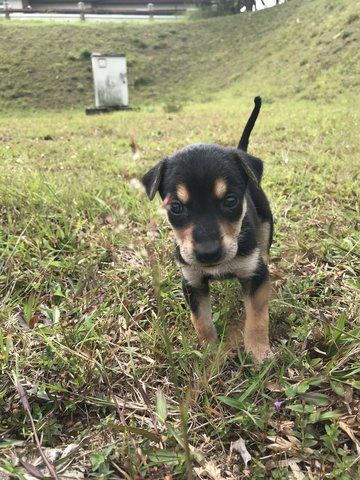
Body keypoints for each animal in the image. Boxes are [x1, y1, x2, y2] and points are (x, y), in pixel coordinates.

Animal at [143, 97, 272, 360]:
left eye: (231, 200)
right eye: (176, 206)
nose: (208, 253)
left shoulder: (254, 276)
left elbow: (257, 317)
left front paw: (258, 352)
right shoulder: (193, 282)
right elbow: (200, 320)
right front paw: (210, 351)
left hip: (266, 222)